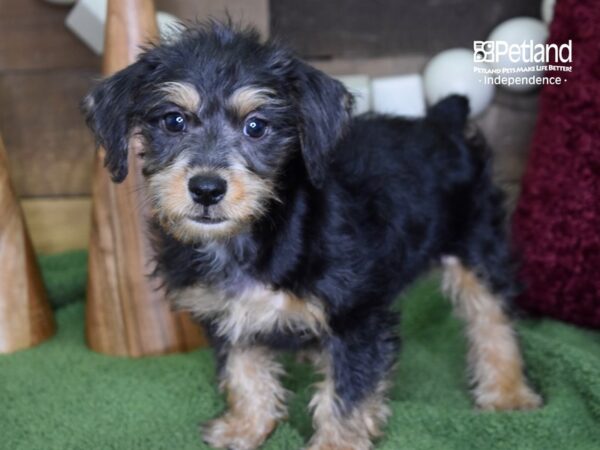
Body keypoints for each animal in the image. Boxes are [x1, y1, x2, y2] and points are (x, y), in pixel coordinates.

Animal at [82, 22, 540, 450]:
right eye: (173, 121)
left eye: (256, 127)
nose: (207, 188)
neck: (260, 232)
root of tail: (443, 120)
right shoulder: (229, 314)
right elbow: (244, 372)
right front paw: (245, 427)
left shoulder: (356, 318)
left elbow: (346, 395)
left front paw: (336, 442)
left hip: (477, 245)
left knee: (493, 321)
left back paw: (507, 393)